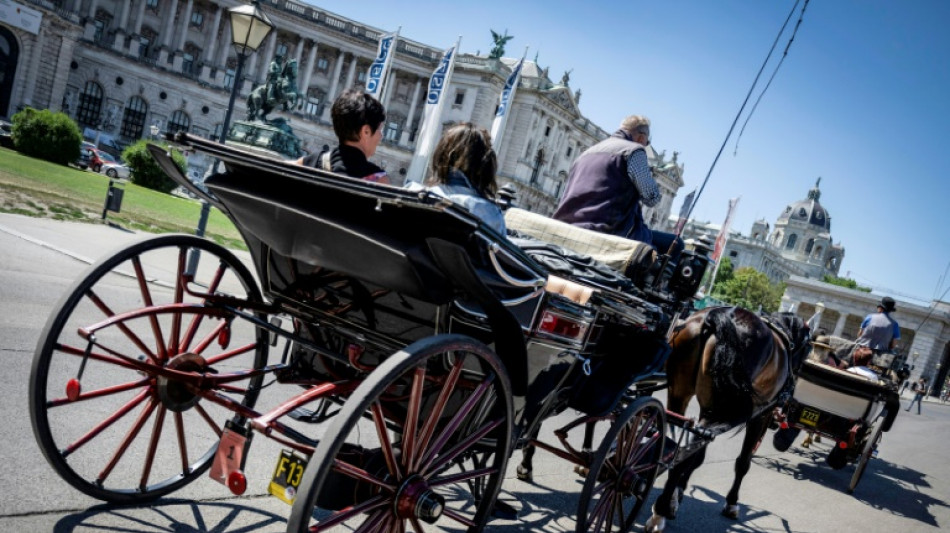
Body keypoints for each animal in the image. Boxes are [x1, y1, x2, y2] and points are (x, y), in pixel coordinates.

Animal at [648, 306, 812, 528]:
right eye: (808, 350)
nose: (791, 389)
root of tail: (716, 317)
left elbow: (699, 455)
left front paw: (679, 492)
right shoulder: (761, 415)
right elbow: (743, 462)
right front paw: (732, 503)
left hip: (679, 394)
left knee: (680, 440)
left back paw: (666, 502)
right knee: (684, 449)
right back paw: (661, 509)